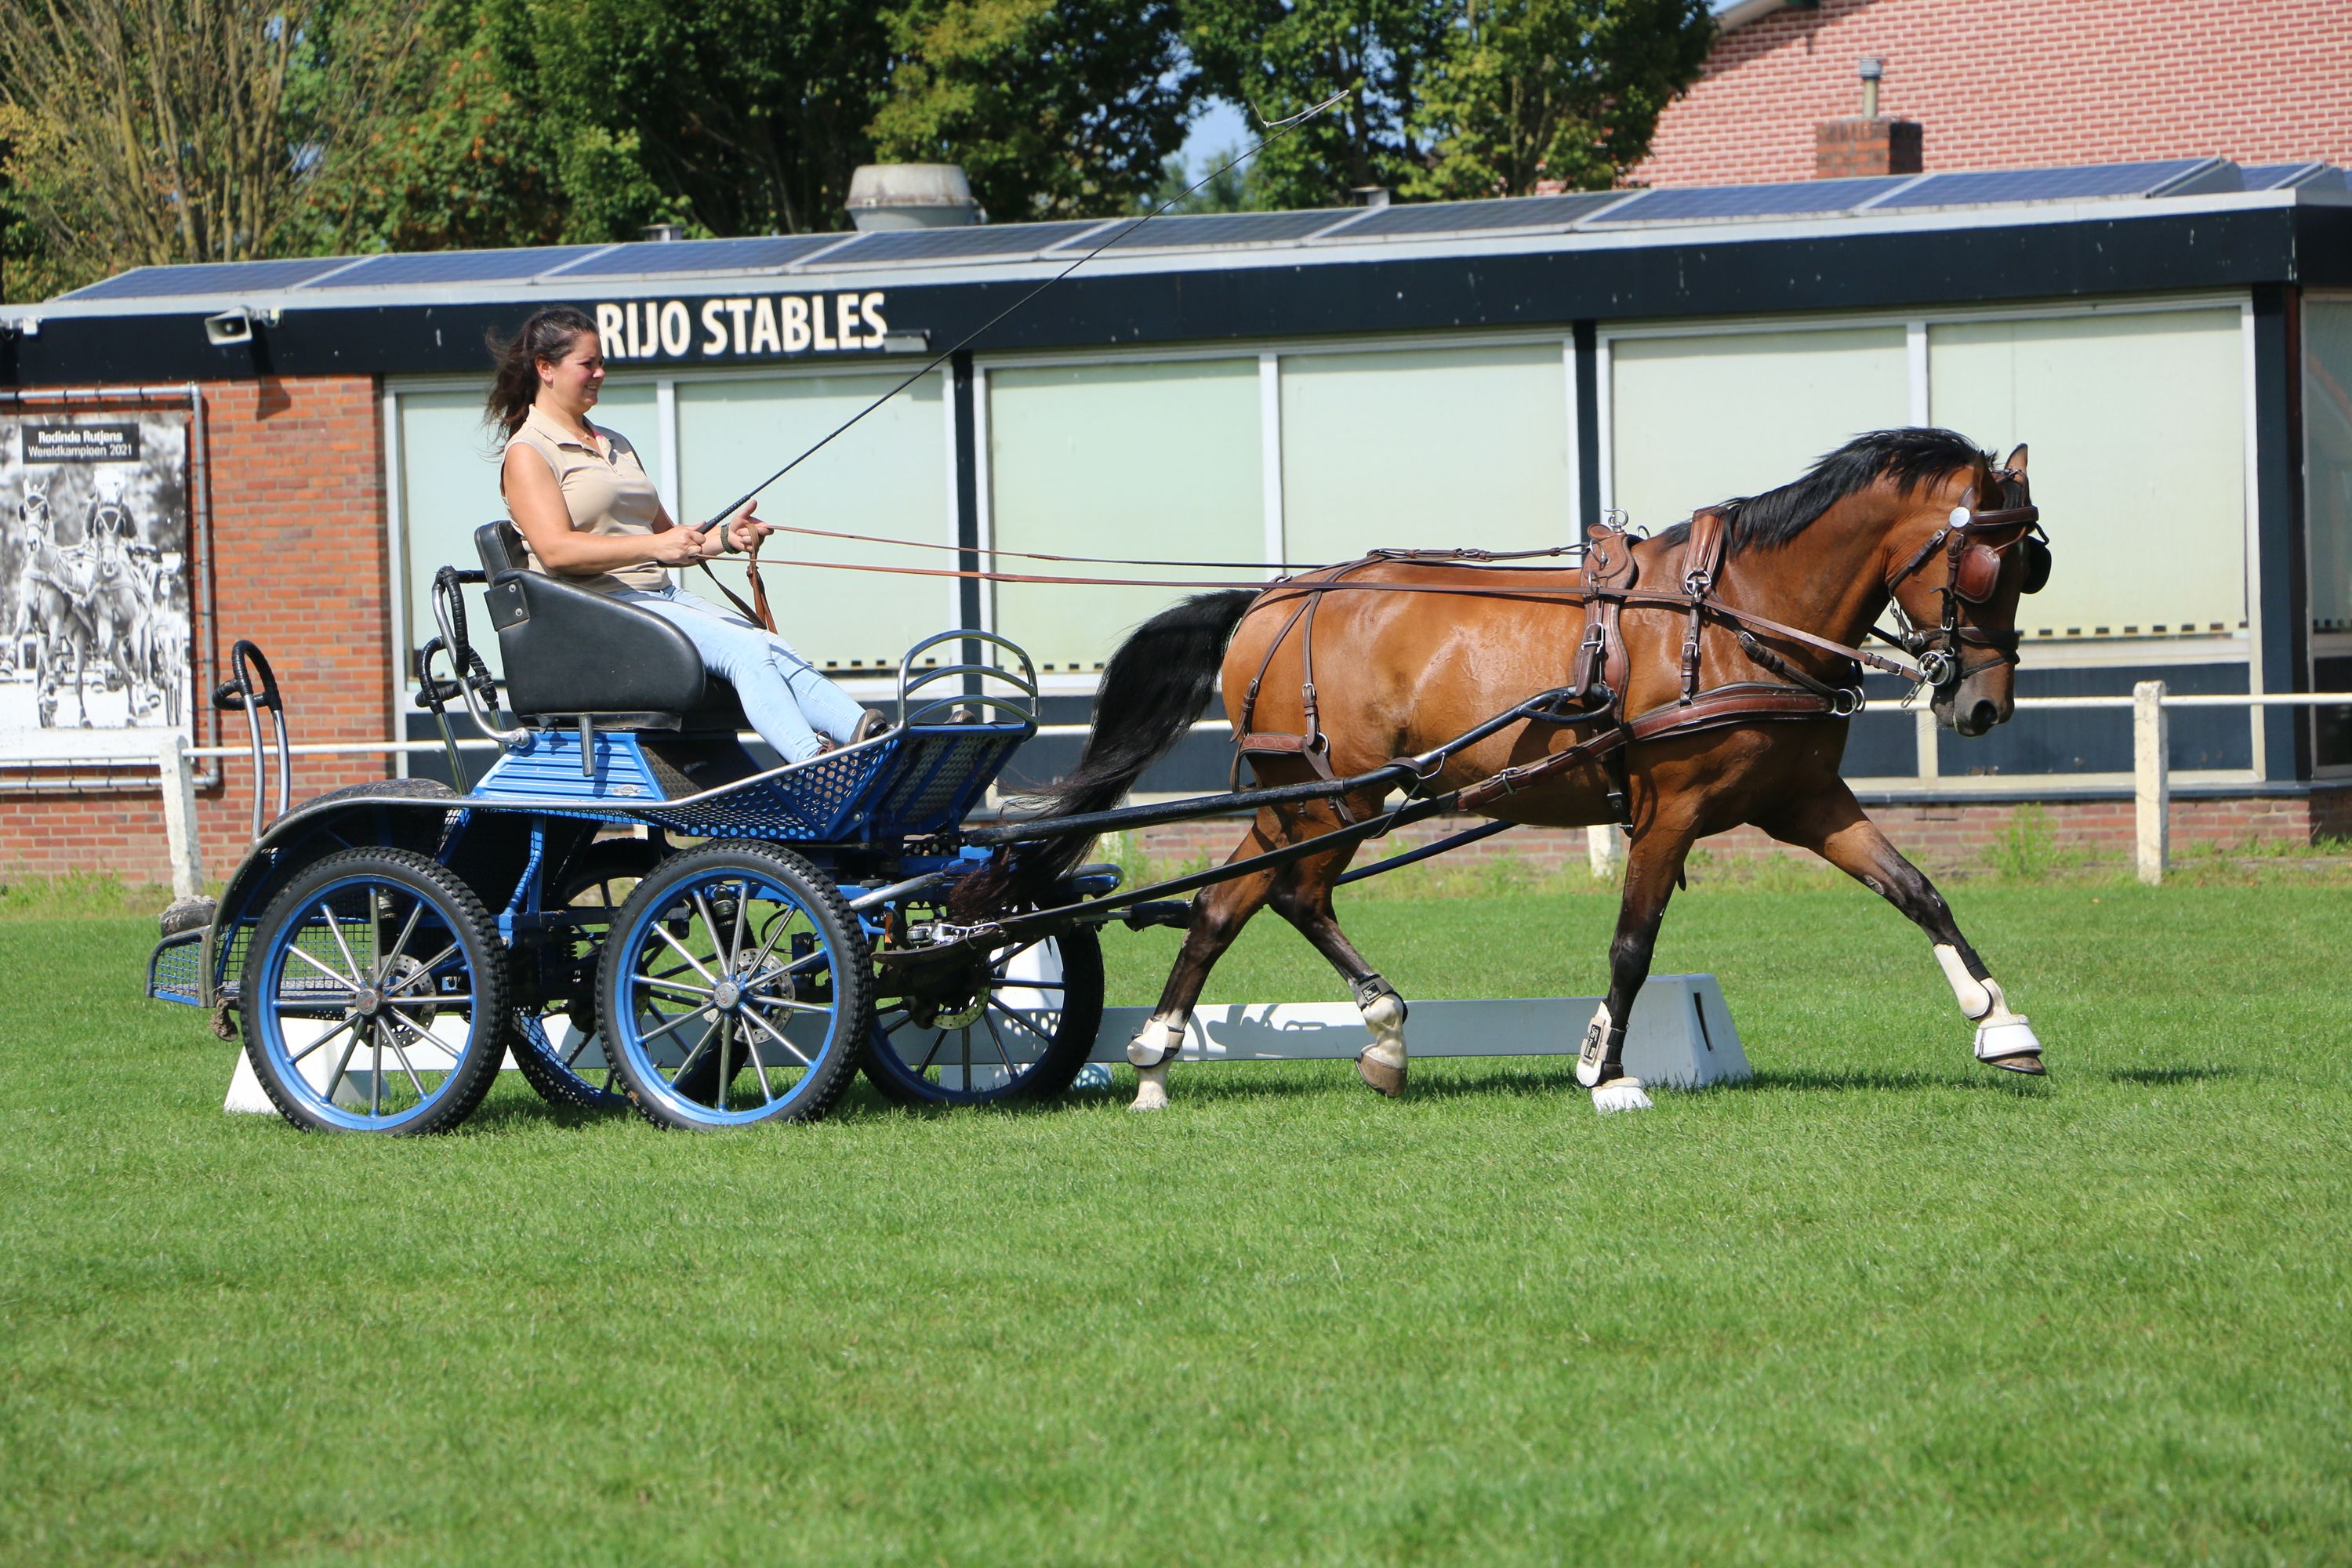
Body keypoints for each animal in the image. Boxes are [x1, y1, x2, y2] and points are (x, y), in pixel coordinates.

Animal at [972, 428, 2053, 1114]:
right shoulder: (1671, 810)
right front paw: (1607, 1070)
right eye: (1988, 569)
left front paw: (2001, 1024)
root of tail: (1271, 599)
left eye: (2031, 566)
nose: (1982, 706)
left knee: (1228, 902)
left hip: (1306, 799)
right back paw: (1364, 1026)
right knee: (1287, 892)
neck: (1739, 614)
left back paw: (1174, 1058)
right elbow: (1633, 943)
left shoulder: (1805, 799)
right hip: (1338, 794)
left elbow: (1918, 891)